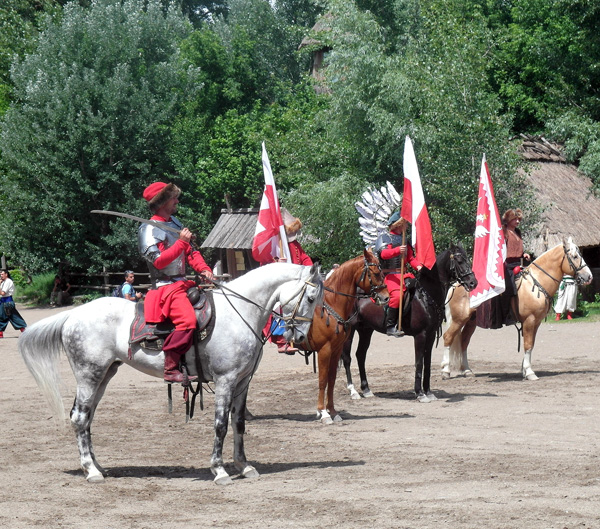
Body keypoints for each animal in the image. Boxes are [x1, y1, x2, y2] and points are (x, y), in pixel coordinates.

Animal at [18, 262, 324, 484]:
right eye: (310, 298)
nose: (299, 336)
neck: (240, 312)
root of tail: (73, 314)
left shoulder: (242, 382)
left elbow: (238, 423)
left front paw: (244, 466)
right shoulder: (225, 380)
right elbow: (221, 425)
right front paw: (219, 470)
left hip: (104, 375)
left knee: (87, 417)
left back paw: (97, 466)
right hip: (89, 375)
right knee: (80, 418)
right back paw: (90, 471)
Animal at [300, 249, 390, 424]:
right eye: (376, 273)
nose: (386, 297)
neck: (329, 305)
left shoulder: (335, 350)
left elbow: (331, 379)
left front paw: (333, 411)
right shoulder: (324, 350)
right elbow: (322, 380)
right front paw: (323, 413)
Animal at [342, 243, 478, 400]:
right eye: (459, 261)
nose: (473, 283)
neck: (425, 295)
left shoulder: (431, 335)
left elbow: (427, 362)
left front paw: (428, 392)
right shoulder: (420, 335)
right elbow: (419, 362)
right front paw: (420, 393)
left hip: (366, 330)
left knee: (360, 355)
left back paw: (366, 389)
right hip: (350, 330)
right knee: (347, 357)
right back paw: (353, 391)